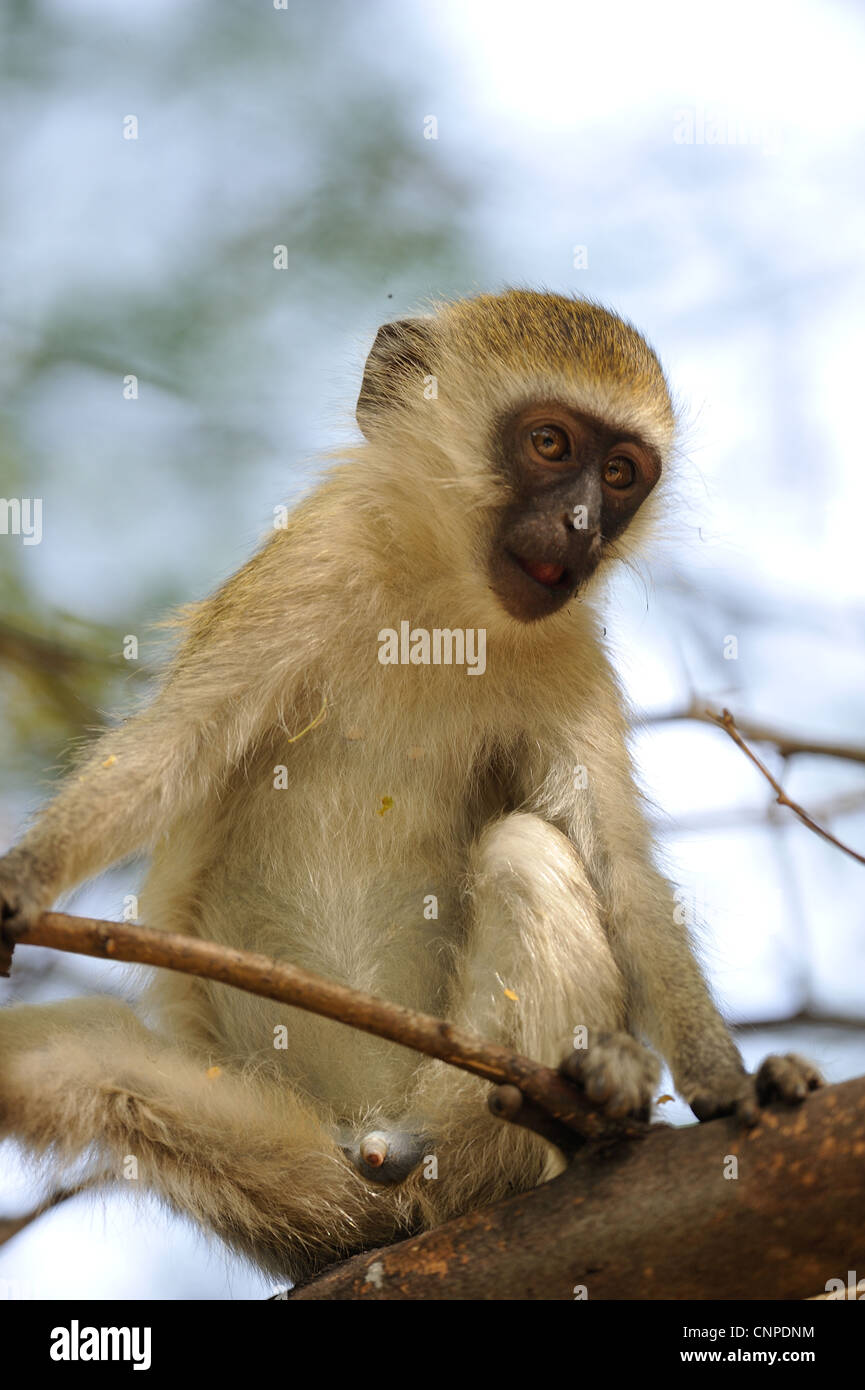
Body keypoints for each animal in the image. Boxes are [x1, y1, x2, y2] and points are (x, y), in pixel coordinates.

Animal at [0, 290, 821, 1283]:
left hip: (471, 1127)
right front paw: (24, 879)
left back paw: (590, 1106)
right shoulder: (310, 561)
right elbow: (172, 752)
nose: (584, 525)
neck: (444, 606)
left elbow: (620, 870)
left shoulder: (572, 655)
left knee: (528, 853)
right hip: (287, 1161)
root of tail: (379, 1161)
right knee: (74, 1061)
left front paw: (729, 1088)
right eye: (551, 444)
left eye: (621, 473)